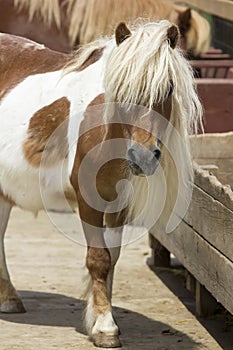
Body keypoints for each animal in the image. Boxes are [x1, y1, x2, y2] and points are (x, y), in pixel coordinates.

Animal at [0, 21, 202, 348]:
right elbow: (98, 259)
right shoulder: (88, 201)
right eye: (119, 91)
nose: (142, 156)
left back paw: (9, 298)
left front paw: (98, 317)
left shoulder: (119, 204)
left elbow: (113, 258)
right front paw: (105, 326)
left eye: (168, 88)